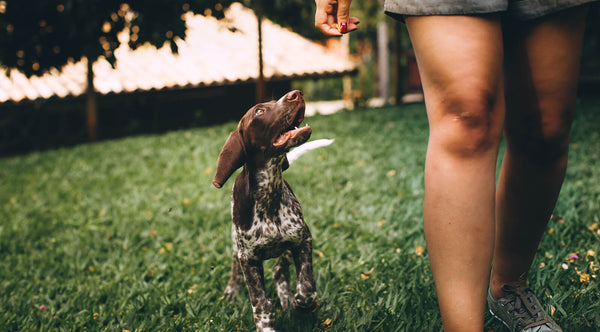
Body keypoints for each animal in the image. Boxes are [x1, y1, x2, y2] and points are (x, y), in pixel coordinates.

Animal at [216, 91, 318, 332]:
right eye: (259, 111)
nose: (296, 94)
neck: (269, 195)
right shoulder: (248, 259)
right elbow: (261, 303)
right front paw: (266, 326)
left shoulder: (303, 239)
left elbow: (307, 285)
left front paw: (301, 303)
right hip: (236, 243)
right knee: (236, 266)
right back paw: (232, 289)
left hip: (286, 248)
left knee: (279, 270)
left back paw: (288, 298)